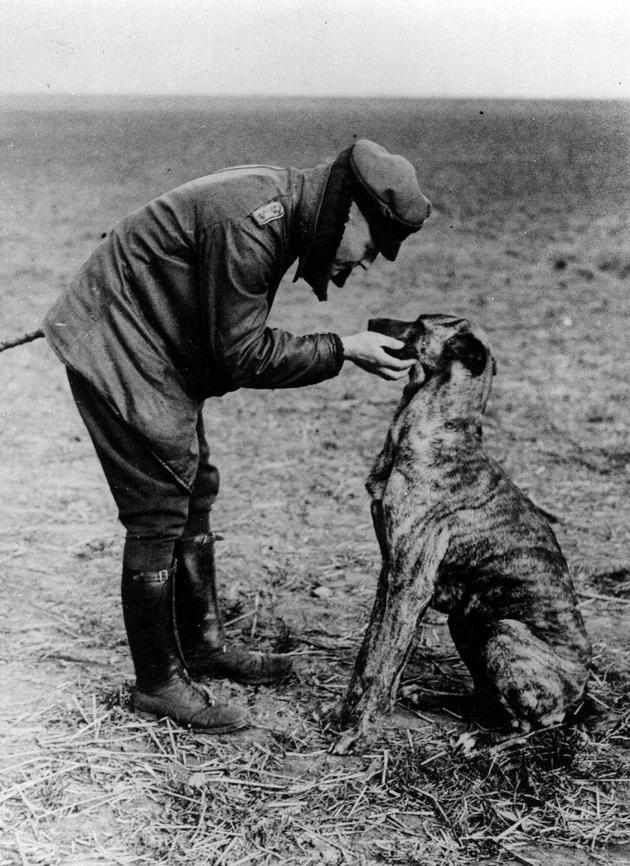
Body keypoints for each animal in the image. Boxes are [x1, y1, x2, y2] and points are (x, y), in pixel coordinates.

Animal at [336, 312, 592, 748]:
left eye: (421, 324)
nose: (371, 320)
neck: (441, 436)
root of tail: (579, 692)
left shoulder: (409, 587)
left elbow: (380, 665)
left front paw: (358, 730)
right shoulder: (392, 576)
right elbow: (371, 655)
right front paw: (349, 712)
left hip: (502, 632)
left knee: (528, 724)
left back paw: (481, 743)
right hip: (466, 623)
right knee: (484, 698)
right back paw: (428, 697)